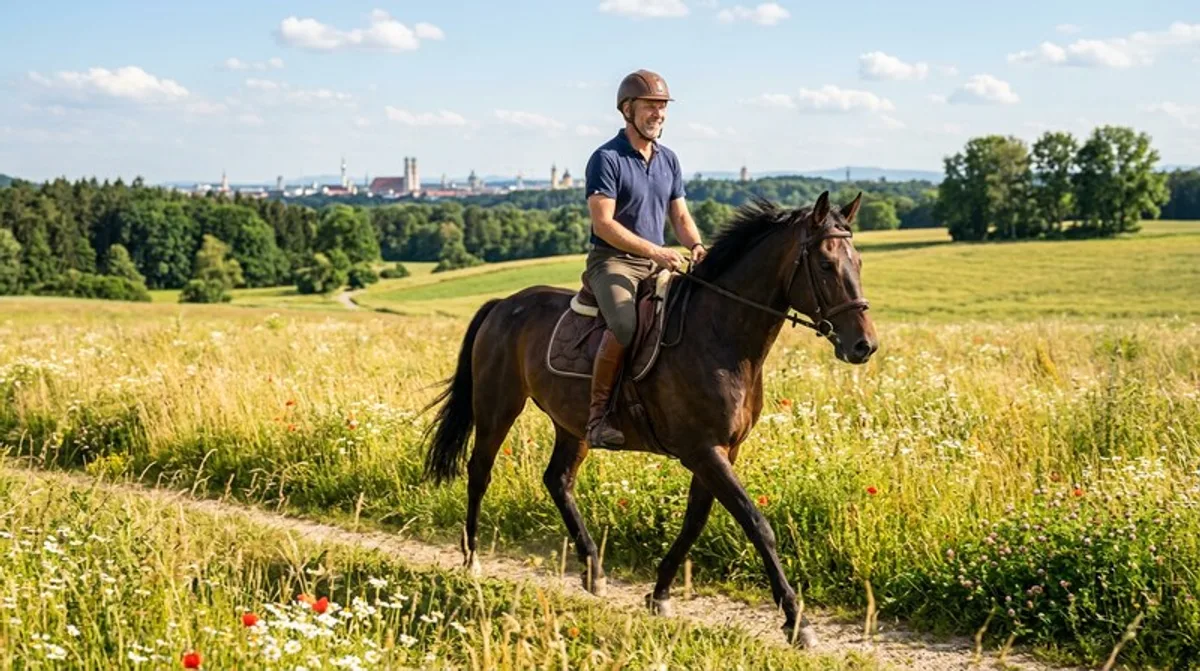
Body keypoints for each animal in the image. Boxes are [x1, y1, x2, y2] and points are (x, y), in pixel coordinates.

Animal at [421, 191, 877, 646]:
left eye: (858, 262)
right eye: (825, 264)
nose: (864, 346)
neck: (719, 335)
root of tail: (504, 305)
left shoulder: (723, 450)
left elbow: (695, 521)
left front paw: (659, 594)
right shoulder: (703, 450)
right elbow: (756, 522)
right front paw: (796, 621)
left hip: (572, 425)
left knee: (558, 480)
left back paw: (593, 570)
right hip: (498, 406)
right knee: (480, 471)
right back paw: (472, 559)